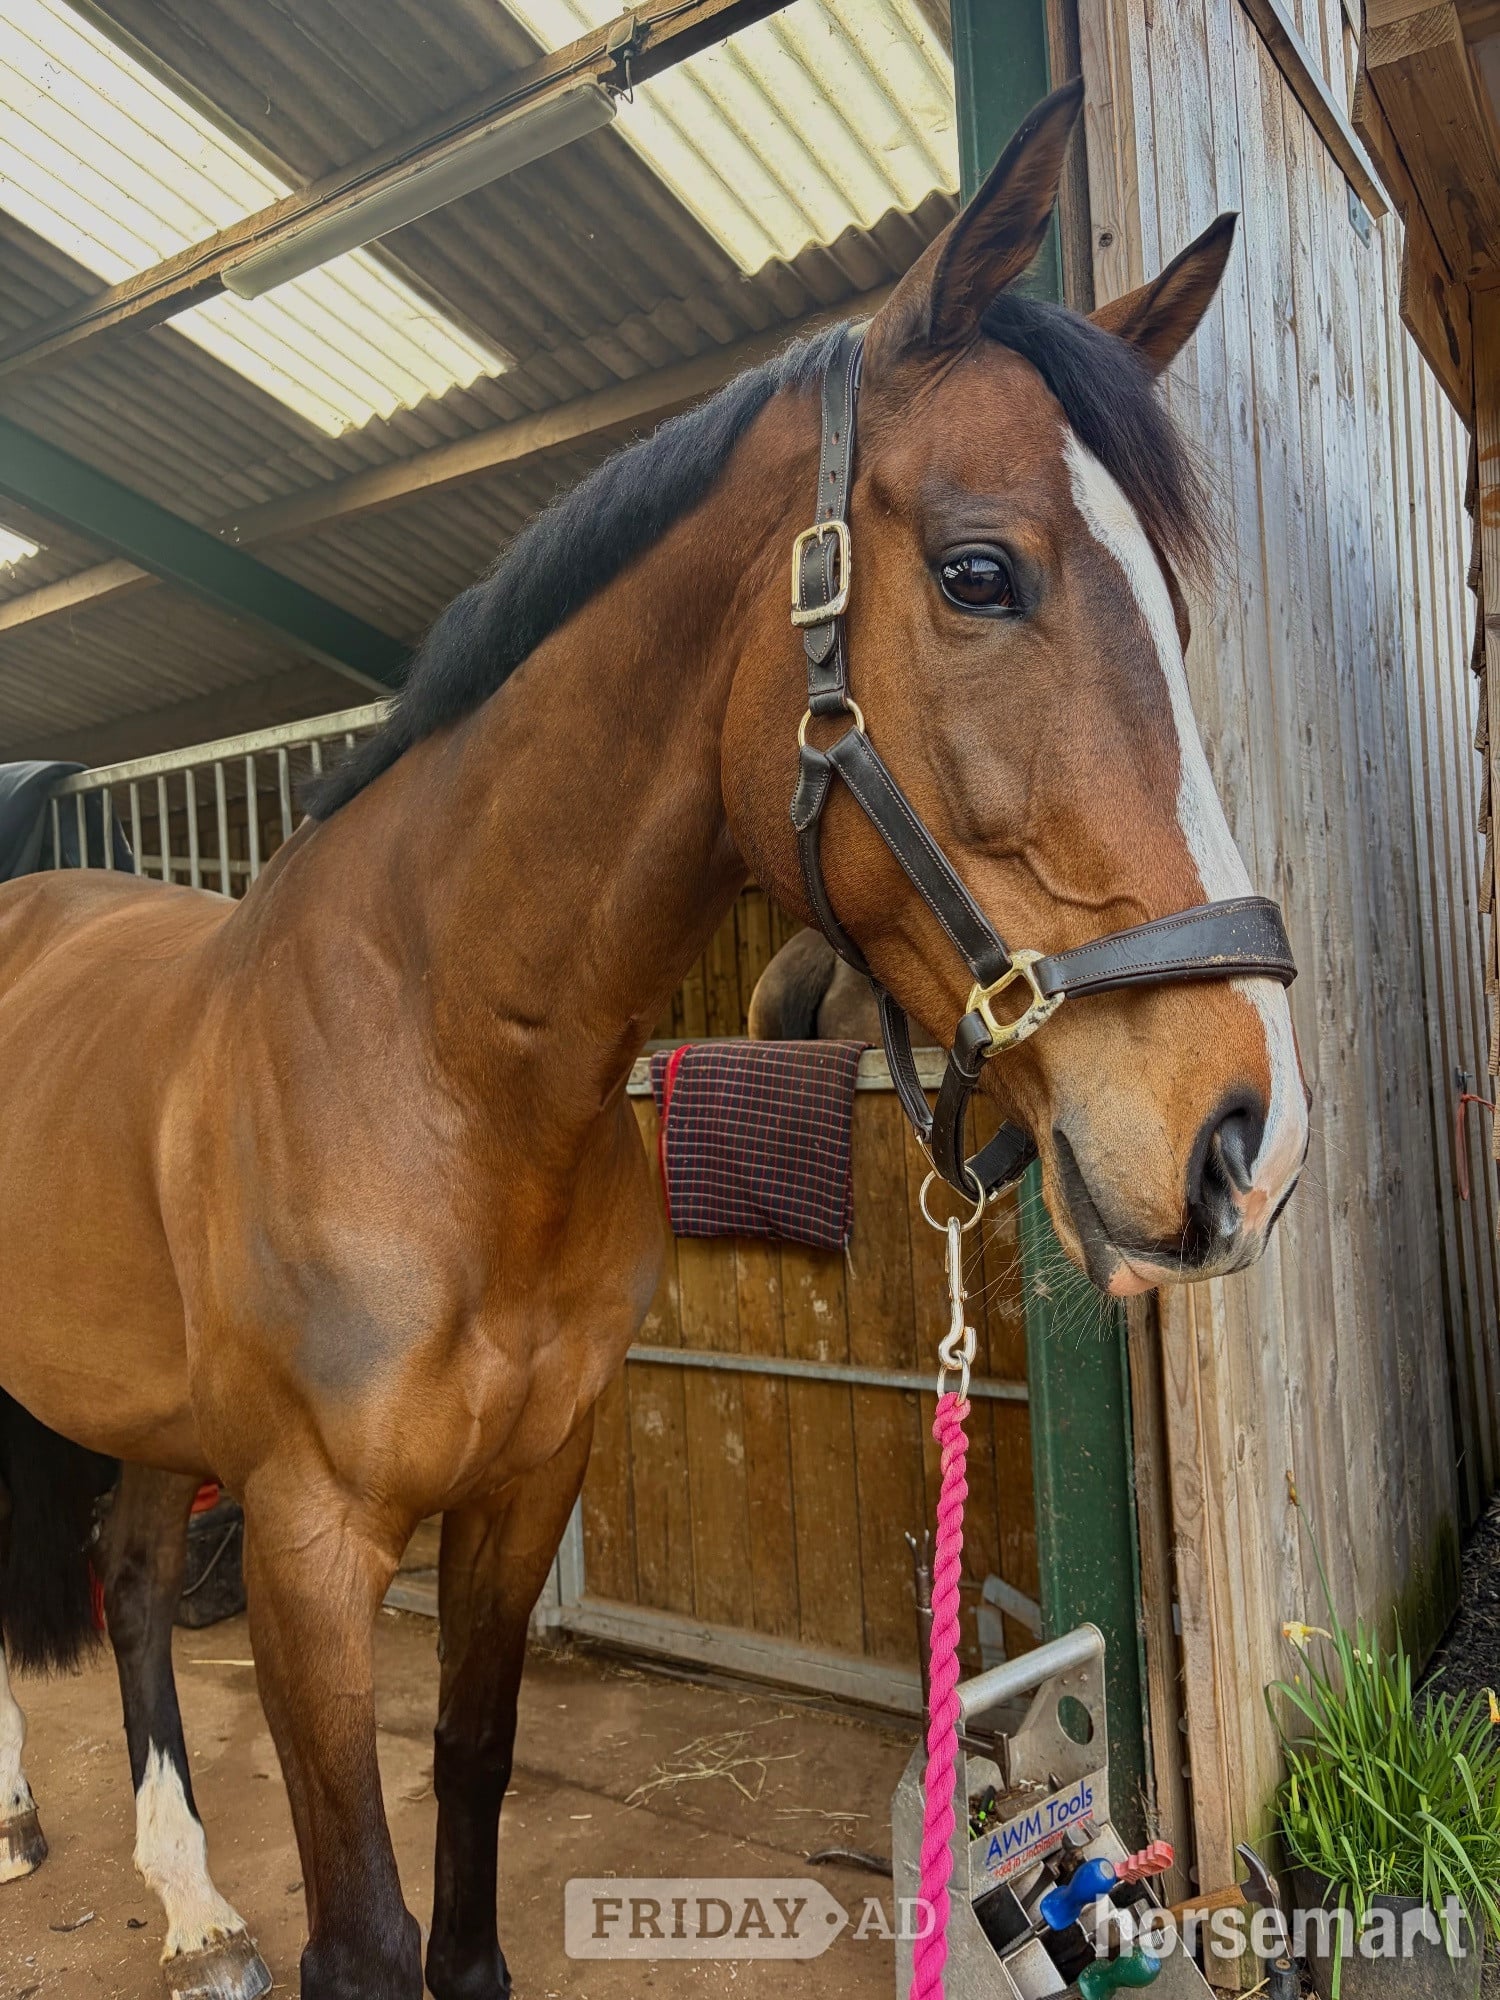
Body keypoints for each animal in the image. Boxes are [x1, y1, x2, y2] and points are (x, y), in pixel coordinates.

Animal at [0, 82, 1307, 2000]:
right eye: (982, 573)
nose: (1245, 1143)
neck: (447, 1067)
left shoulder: (524, 1491)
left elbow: (470, 1788)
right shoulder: (312, 1544)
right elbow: (365, 1924)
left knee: (146, 1582)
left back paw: (187, 1893)